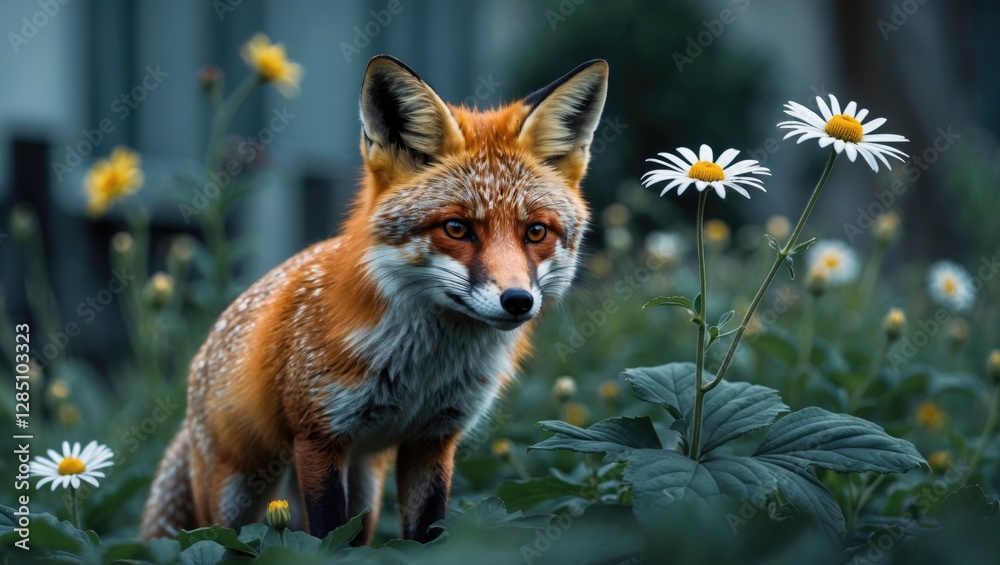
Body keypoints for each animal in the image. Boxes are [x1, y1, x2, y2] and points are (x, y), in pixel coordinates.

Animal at [140, 54, 608, 545]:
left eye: (535, 231)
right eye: (456, 228)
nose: (517, 300)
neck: (424, 371)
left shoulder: (433, 438)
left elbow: (423, 536)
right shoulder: (318, 435)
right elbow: (325, 539)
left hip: (364, 487)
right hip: (234, 496)